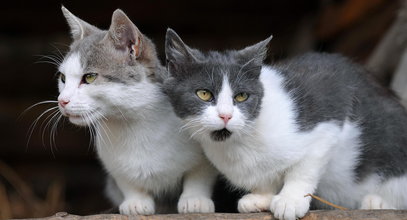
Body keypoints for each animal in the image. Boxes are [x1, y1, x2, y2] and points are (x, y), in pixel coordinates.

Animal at [164, 27, 407, 220]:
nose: (226, 116)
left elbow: (304, 169)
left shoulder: (329, 116)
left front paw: (291, 200)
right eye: (204, 94)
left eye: (242, 96)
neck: (238, 143)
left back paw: (378, 201)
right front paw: (262, 197)